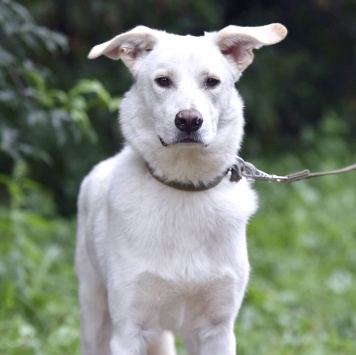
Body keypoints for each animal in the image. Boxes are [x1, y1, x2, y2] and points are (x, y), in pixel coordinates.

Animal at [75, 23, 286, 354]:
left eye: (212, 82)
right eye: (163, 81)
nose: (188, 120)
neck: (184, 187)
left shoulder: (218, 330)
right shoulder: (128, 331)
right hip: (94, 314)